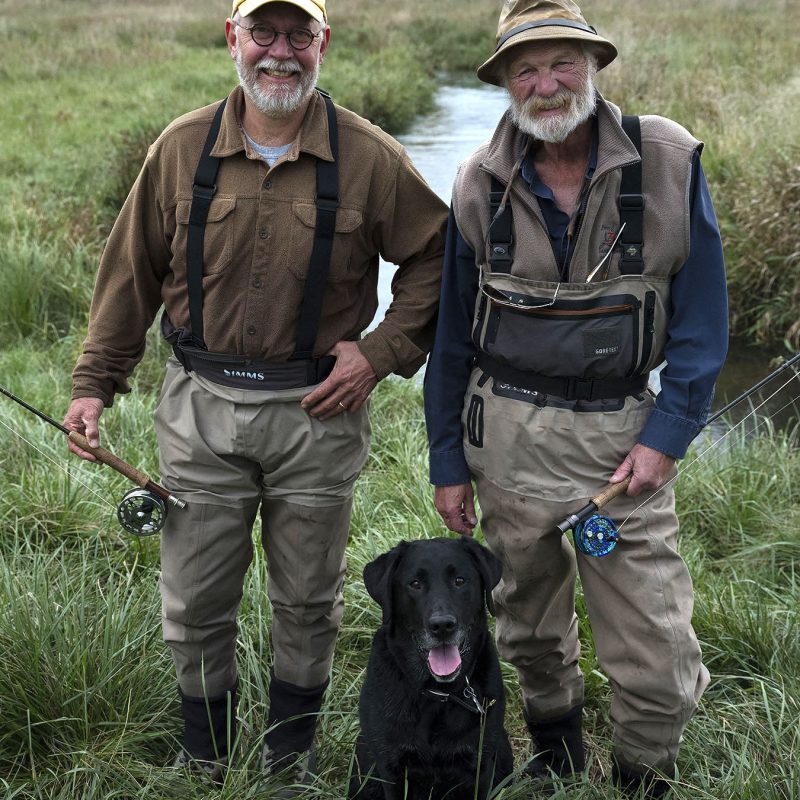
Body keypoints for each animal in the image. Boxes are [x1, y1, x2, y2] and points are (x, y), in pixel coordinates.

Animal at [348, 536, 512, 800]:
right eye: (415, 584)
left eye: (459, 580)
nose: (442, 625)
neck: (438, 695)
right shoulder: (391, 769)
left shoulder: (480, 766)